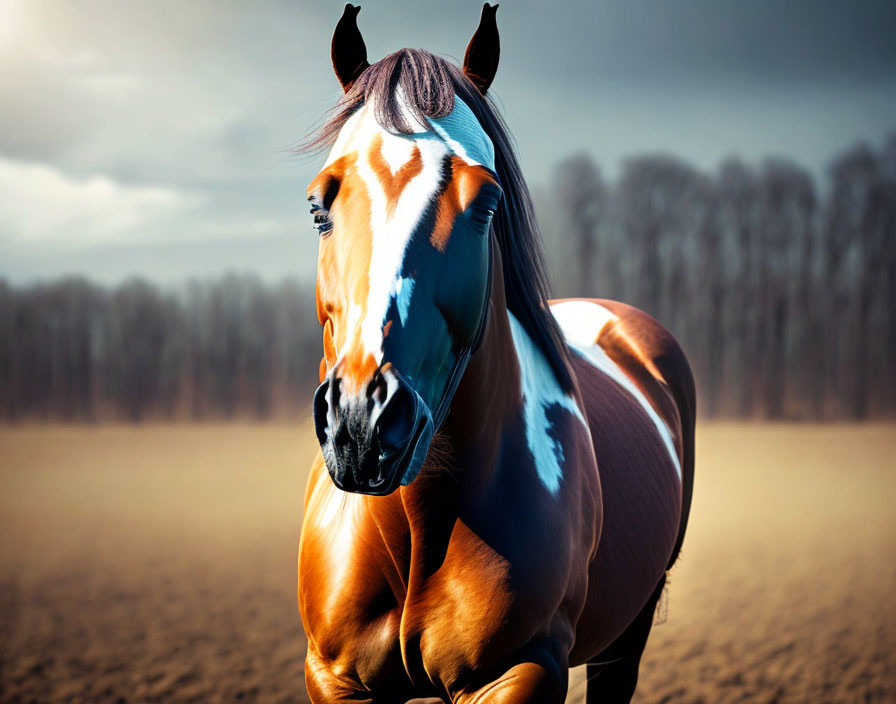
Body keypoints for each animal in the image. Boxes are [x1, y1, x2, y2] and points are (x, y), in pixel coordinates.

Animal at [298, 6, 696, 704]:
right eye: (321, 205)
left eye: (484, 204)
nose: (364, 424)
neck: (418, 522)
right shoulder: (333, 675)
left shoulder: (523, 670)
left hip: (630, 629)